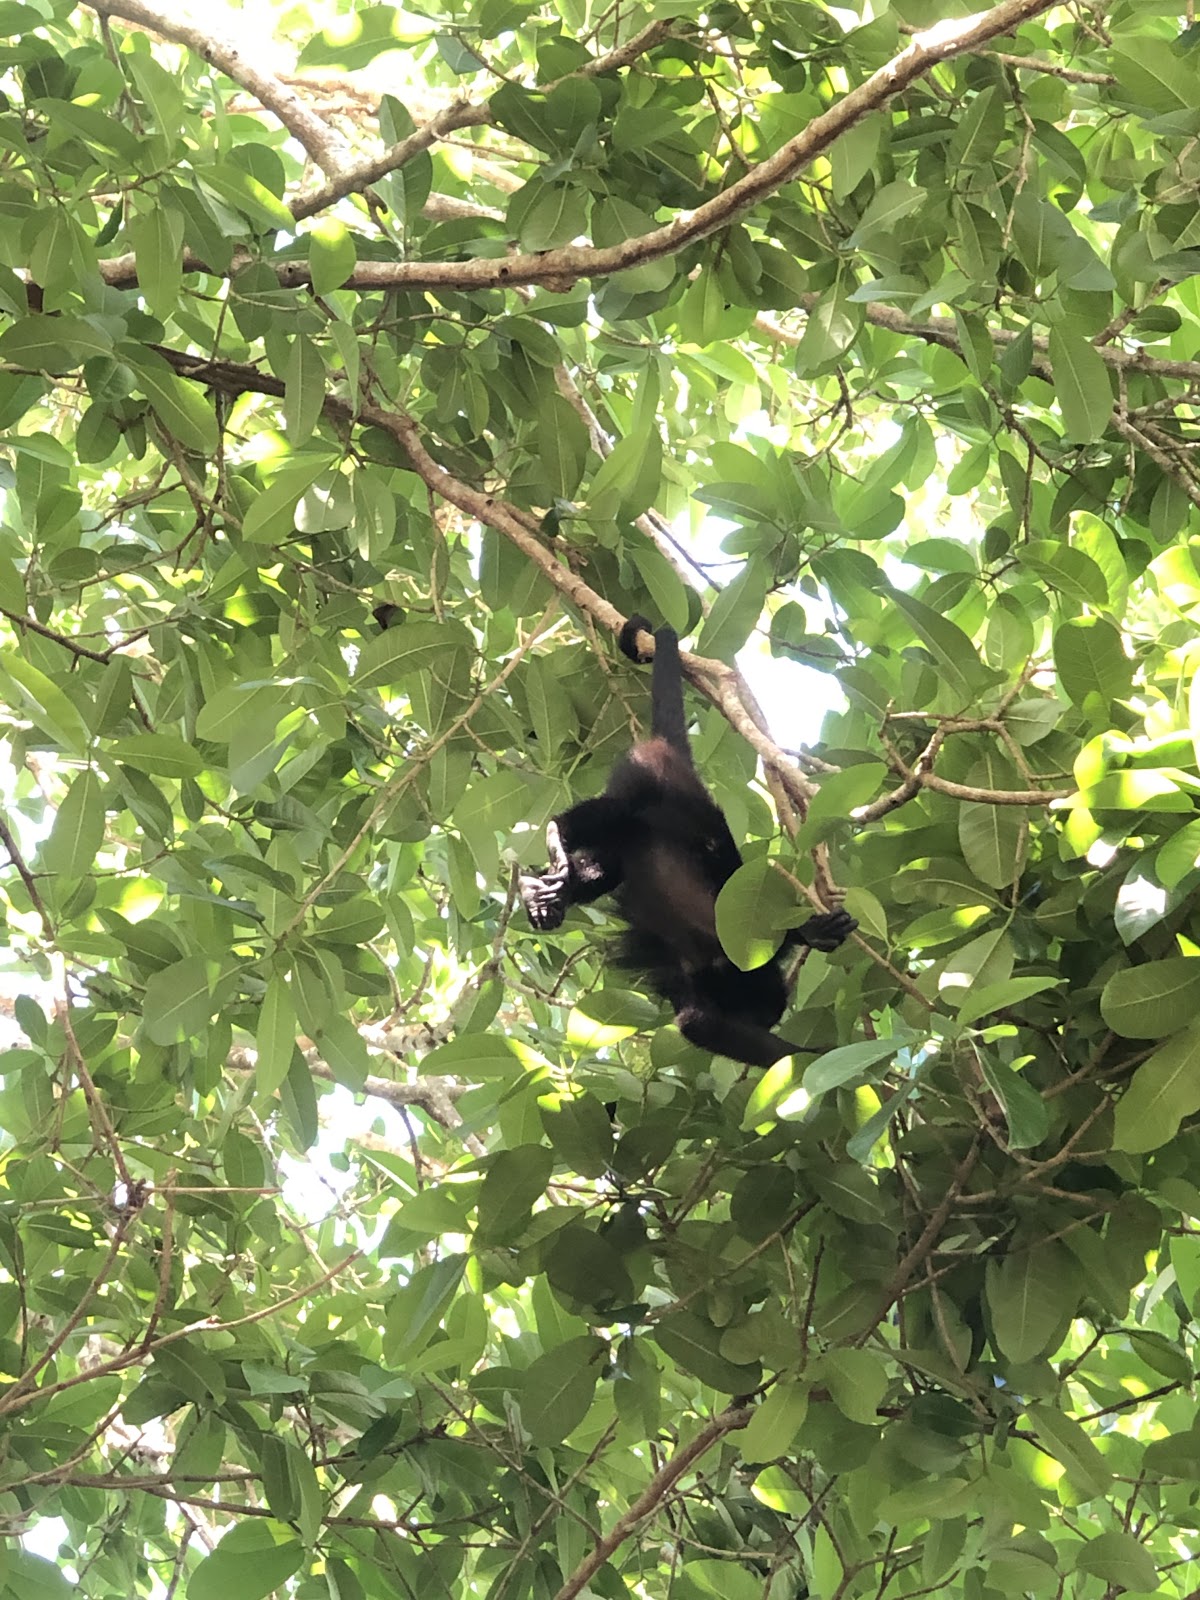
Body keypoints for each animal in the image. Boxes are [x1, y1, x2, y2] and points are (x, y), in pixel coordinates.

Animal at [519, 615, 857, 1067]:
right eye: (756, 1016)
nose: (766, 1021)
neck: (722, 965)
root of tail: (672, 753)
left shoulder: (694, 977)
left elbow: (697, 1022)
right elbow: (702, 1020)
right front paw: (814, 1054)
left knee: (606, 866)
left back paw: (541, 893)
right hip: (651, 776)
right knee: (622, 809)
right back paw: (556, 834)